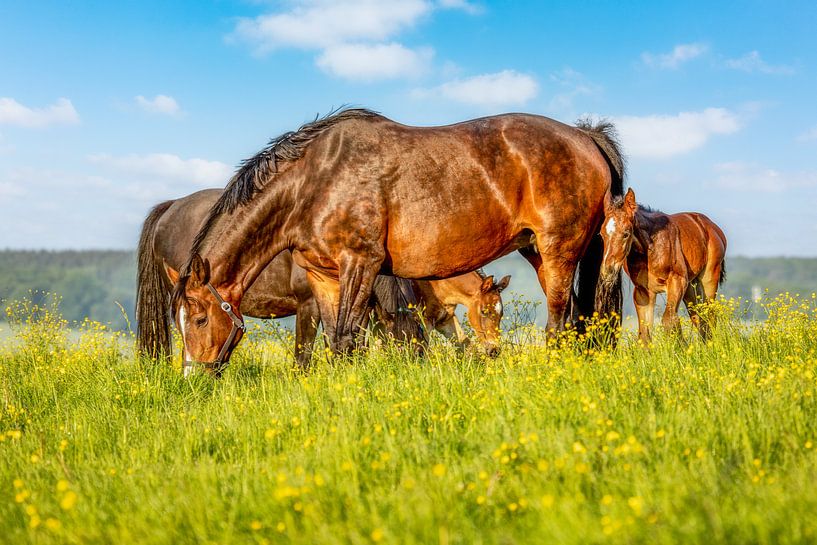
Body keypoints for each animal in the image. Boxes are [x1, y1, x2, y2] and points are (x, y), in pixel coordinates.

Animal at [170, 108, 625, 367]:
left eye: (199, 318)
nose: (193, 377)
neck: (313, 181)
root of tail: (585, 136)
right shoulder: (324, 276)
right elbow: (335, 341)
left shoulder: (361, 264)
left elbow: (346, 338)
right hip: (537, 252)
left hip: (559, 250)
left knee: (560, 319)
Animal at [598, 188, 727, 342]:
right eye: (602, 234)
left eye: (626, 234)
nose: (608, 270)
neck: (649, 250)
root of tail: (713, 227)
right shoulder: (643, 292)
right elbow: (644, 334)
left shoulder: (677, 280)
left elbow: (669, 320)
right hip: (691, 286)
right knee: (698, 316)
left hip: (709, 279)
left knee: (710, 316)